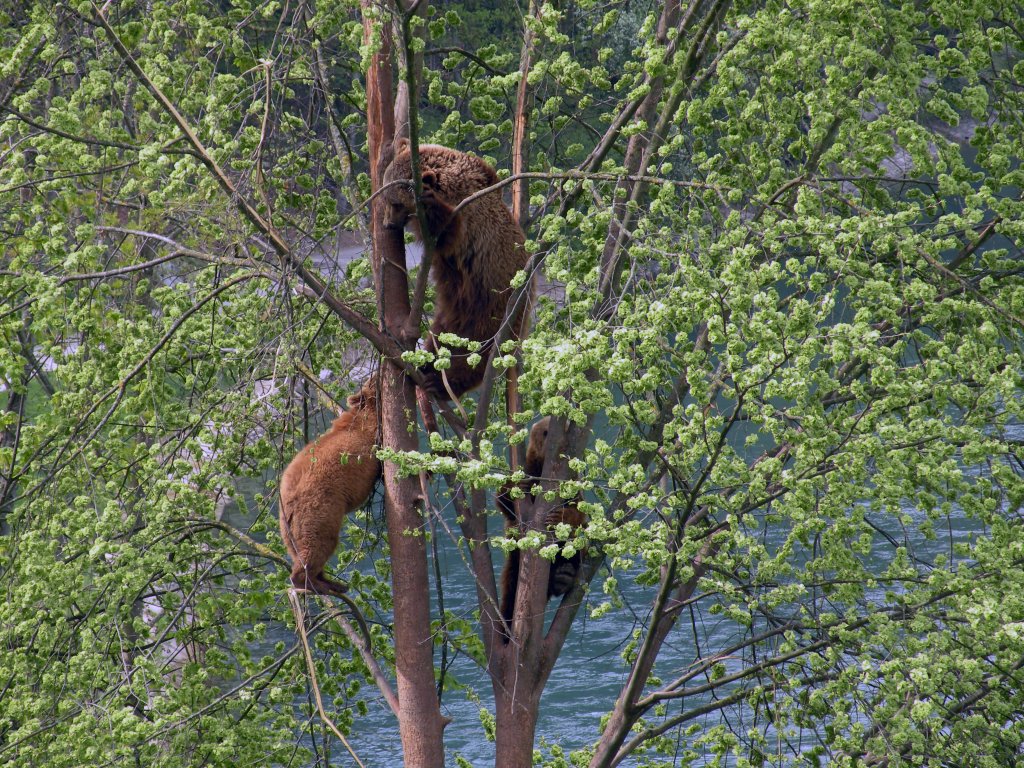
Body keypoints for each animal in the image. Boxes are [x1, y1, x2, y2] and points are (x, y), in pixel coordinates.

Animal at [380, 140, 532, 399]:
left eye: (396, 202)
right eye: (386, 198)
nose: (388, 224)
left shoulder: (468, 220)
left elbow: (447, 230)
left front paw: (429, 202)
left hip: (493, 307)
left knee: (476, 352)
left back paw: (442, 384)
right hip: (455, 312)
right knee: (445, 341)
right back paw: (428, 368)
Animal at [499, 421, 589, 638]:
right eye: (545, 432)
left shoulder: (570, 486)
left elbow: (577, 511)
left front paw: (558, 516)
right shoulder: (531, 472)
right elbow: (506, 503)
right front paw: (513, 486)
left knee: (572, 551)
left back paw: (563, 575)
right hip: (514, 561)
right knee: (511, 585)